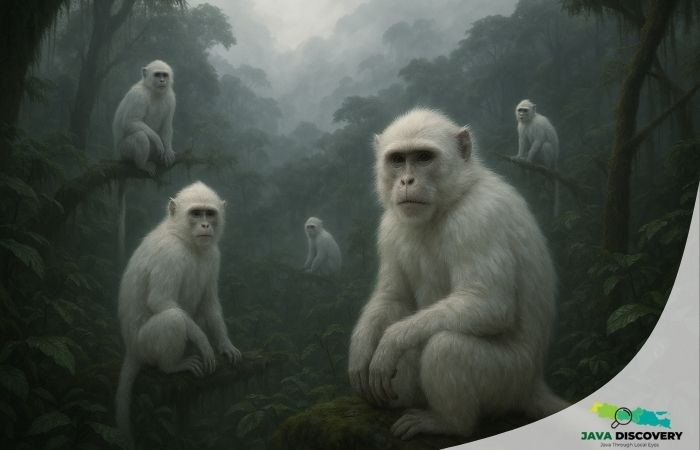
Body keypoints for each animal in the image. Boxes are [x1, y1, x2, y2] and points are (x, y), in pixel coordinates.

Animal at [113, 60, 177, 261]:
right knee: (140, 137)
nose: (163, 81)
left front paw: (168, 150)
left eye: (164, 74)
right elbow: (131, 122)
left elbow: (167, 126)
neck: (154, 92)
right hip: (125, 150)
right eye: (158, 75)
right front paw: (157, 141)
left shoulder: (170, 97)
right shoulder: (138, 97)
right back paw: (143, 165)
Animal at [115, 181, 241, 449]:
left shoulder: (213, 254)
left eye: (209, 214)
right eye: (196, 214)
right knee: (173, 319)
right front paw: (205, 344)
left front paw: (225, 344)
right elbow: (161, 302)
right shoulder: (170, 255)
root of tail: (131, 349)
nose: (205, 226)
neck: (184, 239)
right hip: (145, 346)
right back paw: (171, 366)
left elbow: (209, 304)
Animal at [348, 108, 569, 440]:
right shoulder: (390, 225)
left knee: (446, 346)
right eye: (398, 159)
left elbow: (489, 303)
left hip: (508, 381)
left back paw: (449, 423)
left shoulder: (477, 218)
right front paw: (361, 350)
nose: (407, 180)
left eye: (423, 157)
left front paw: (390, 343)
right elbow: (393, 296)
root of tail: (532, 385)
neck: (449, 201)